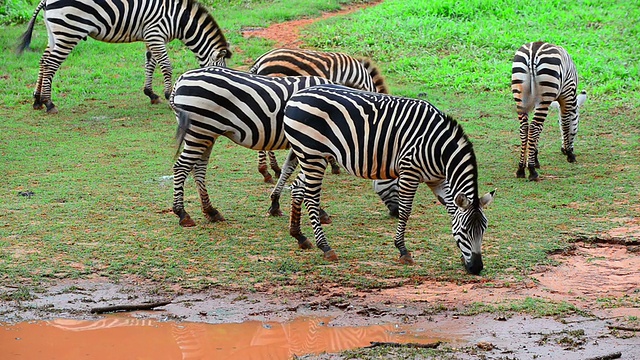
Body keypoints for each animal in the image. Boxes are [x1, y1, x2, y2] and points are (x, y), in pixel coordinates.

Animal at [16, 0, 232, 114]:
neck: (178, 19)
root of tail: (46, 1)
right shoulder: (155, 33)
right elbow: (165, 65)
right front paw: (168, 94)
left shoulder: (150, 36)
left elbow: (150, 62)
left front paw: (150, 93)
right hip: (69, 31)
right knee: (51, 64)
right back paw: (49, 103)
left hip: (56, 32)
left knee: (43, 61)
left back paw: (37, 100)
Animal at [280, 83, 496, 276]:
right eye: (466, 231)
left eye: (484, 229)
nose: (476, 268)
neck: (439, 149)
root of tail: (295, 96)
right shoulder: (409, 171)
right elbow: (405, 211)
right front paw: (403, 250)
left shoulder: (437, 179)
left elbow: (452, 211)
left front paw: (461, 257)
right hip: (312, 155)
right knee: (311, 197)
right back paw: (325, 247)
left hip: (312, 157)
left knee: (298, 188)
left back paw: (299, 236)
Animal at [510, 42, 584, 181]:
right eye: (577, 125)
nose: (563, 150)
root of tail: (533, 53)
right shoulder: (567, 95)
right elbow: (565, 124)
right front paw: (570, 154)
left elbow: (541, 129)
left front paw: (535, 158)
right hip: (545, 93)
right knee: (533, 127)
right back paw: (532, 171)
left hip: (521, 94)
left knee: (525, 128)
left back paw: (521, 169)